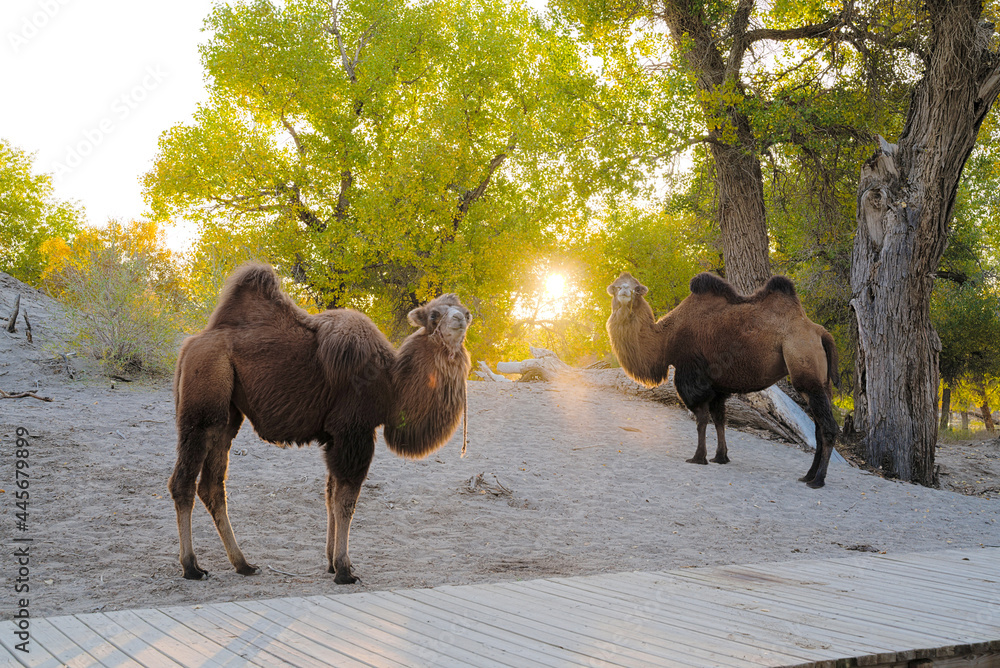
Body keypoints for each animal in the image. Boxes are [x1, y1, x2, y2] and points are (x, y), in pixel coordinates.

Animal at [169, 264, 472, 580]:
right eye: (434, 315)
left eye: (465, 310)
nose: (461, 318)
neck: (391, 384)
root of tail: (190, 345)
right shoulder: (354, 431)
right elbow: (346, 499)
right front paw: (344, 569)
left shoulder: (335, 437)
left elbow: (330, 495)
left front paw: (330, 562)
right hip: (202, 401)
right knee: (183, 482)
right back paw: (191, 566)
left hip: (227, 415)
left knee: (212, 485)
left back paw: (243, 564)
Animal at [604, 272, 840, 490]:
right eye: (616, 286)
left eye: (636, 289)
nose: (624, 291)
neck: (666, 339)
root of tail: (820, 332)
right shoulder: (717, 385)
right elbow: (719, 419)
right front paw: (720, 457)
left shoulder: (693, 375)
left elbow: (701, 418)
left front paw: (698, 457)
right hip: (822, 383)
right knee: (819, 429)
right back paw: (808, 475)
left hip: (805, 368)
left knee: (827, 428)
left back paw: (818, 480)